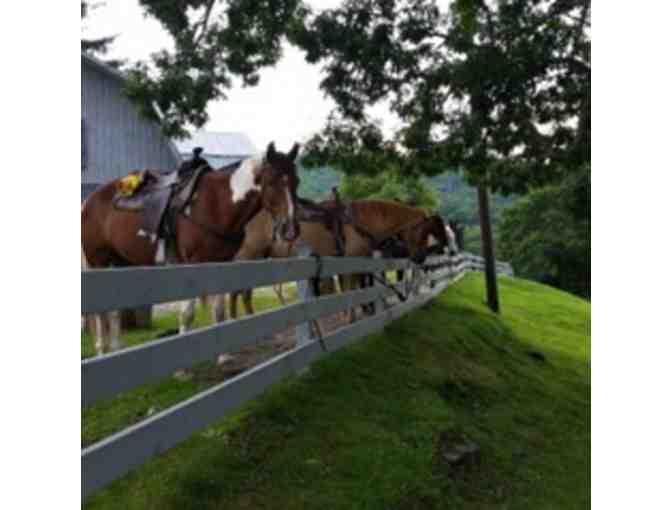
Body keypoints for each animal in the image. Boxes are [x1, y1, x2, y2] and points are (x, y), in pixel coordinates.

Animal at [80, 139, 300, 354]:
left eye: (296, 181)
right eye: (272, 182)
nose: (291, 230)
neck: (214, 204)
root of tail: (88, 201)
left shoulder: (221, 264)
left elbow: (219, 311)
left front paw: (223, 355)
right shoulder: (191, 265)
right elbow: (187, 314)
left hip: (119, 262)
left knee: (114, 311)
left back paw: (116, 349)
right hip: (98, 262)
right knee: (101, 312)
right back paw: (101, 351)